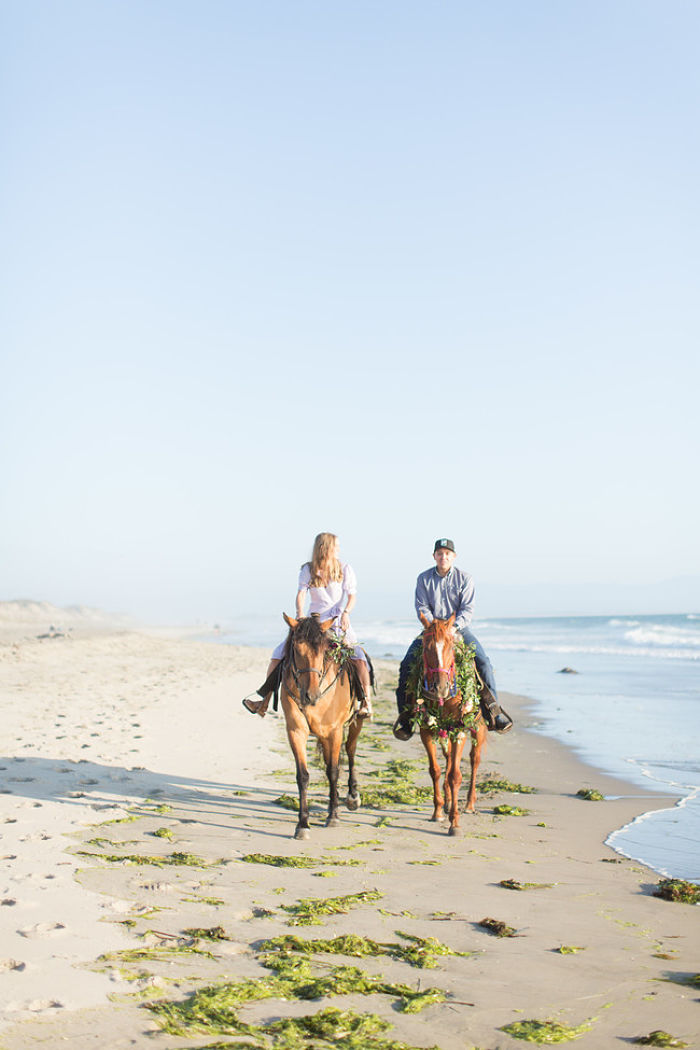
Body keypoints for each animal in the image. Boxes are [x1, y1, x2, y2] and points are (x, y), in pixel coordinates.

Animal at [281, 613, 367, 839]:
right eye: (296, 648)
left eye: (323, 649)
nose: (311, 695)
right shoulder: (296, 731)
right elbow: (303, 776)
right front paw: (303, 824)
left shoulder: (334, 731)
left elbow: (333, 771)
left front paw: (333, 815)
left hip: (355, 722)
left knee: (350, 751)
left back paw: (352, 796)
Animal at [411, 613, 486, 831]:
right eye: (426, 646)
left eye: (450, 646)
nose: (441, 688)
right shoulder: (427, 730)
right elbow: (435, 770)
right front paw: (438, 812)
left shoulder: (459, 730)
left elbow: (455, 775)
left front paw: (455, 823)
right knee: (448, 758)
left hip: (477, 728)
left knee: (474, 759)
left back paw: (469, 804)